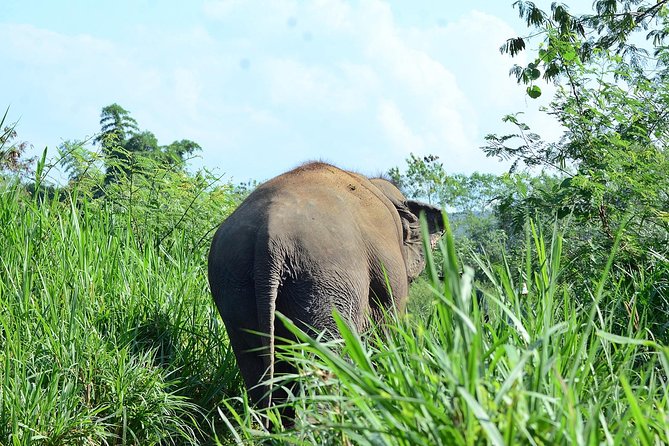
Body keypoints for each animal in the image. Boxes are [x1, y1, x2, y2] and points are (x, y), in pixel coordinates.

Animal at [206, 163, 440, 418]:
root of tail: (269, 242)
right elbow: (386, 332)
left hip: (234, 284)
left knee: (255, 363)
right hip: (325, 281)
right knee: (325, 355)